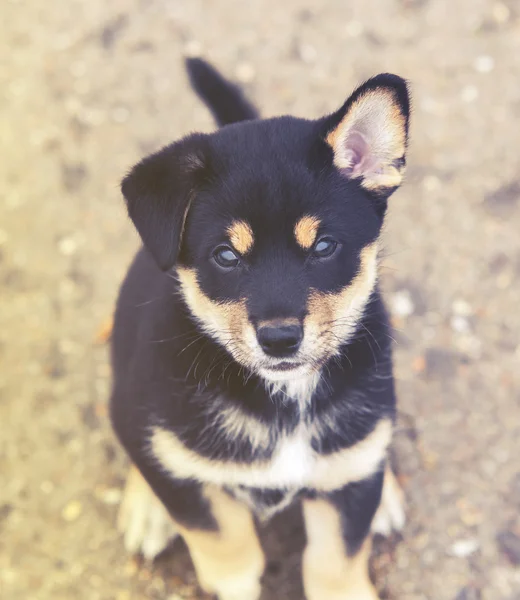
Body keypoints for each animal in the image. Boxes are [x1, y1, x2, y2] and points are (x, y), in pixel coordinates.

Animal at [112, 57, 410, 600]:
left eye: (324, 246)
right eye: (226, 256)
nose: (279, 339)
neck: (283, 399)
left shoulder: (343, 500)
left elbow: (334, 567)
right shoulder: (196, 498)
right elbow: (227, 550)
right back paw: (147, 509)